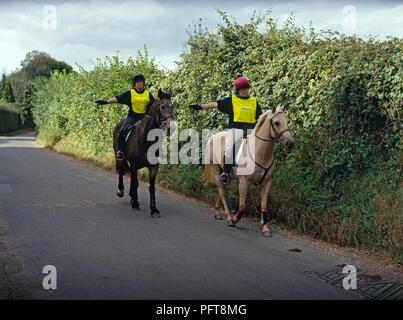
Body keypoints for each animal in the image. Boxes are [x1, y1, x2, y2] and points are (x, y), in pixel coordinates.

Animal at [113, 88, 177, 218]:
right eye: (162, 106)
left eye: (172, 106)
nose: (171, 127)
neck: (146, 139)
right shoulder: (134, 165)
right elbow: (135, 183)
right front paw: (135, 202)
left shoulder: (153, 167)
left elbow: (151, 187)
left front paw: (154, 209)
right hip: (119, 156)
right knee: (121, 172)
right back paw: (121, 191)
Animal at [205, 104, 294, 235]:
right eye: (276, 123)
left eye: (287, 121)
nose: (290, 143)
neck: (260, 152)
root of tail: (213, 137)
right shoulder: (244, 182)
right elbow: (242, 206)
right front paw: (235, 219)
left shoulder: (267, 182)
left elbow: (264, 205)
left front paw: (265, 228)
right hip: (216, 169)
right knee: (222, 192)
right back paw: (228, 217)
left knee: (221, 190)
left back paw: (217, 212)